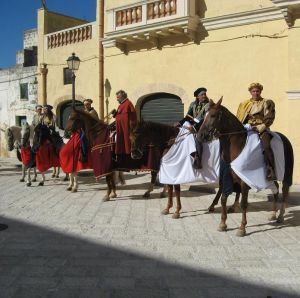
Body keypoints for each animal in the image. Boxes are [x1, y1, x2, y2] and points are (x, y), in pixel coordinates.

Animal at [197, 99, 292, 236]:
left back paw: (280, 216)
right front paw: (222, 224)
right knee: (276, 190)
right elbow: (224, 198)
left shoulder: (244, 181)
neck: (238, 145)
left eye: (213, 115)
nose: (200, 136)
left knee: (284, 192)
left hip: (286, 175)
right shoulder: (227, 178)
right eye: (205, 115)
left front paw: (242, 228)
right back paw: (273, 214)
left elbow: (243, 204)